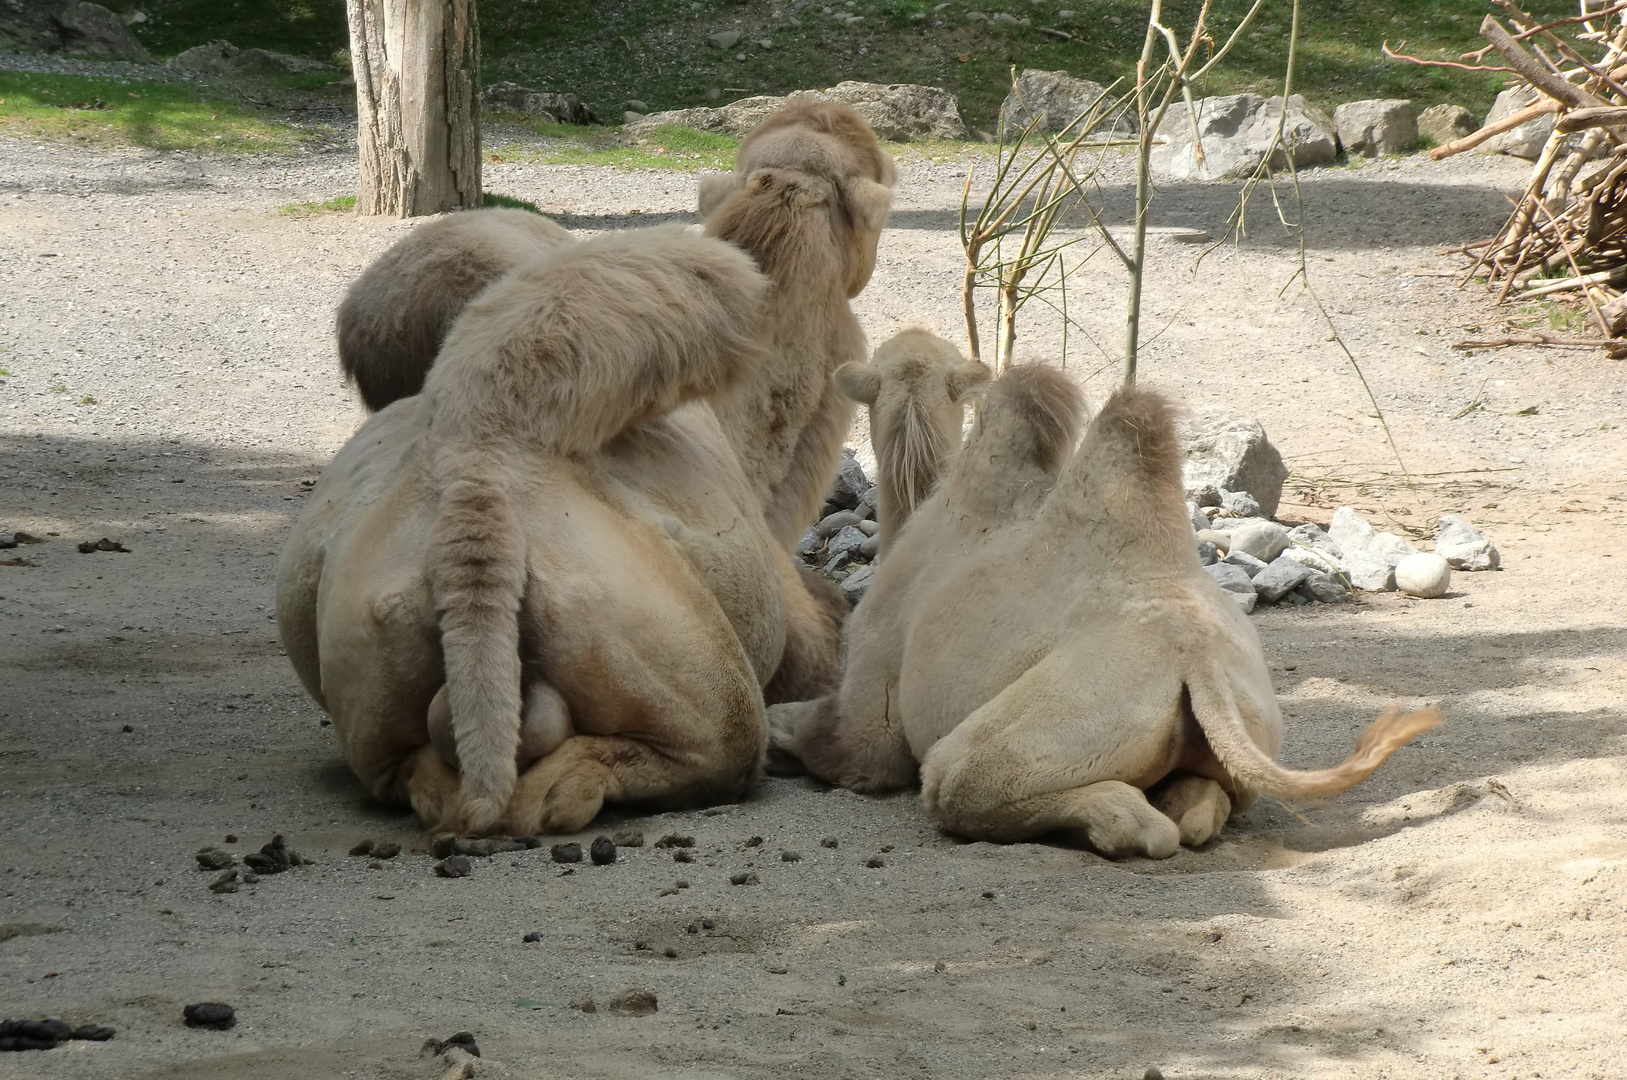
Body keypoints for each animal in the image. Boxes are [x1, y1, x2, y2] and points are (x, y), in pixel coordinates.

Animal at [767, 367, 1444, 858]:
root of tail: (1197, 665)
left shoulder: (874, 690)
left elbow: (847, 746)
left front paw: (777, 732)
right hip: (1251, 722)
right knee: (1203, 806)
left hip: (1059, 717)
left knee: (960, 782)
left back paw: (1112, 824)